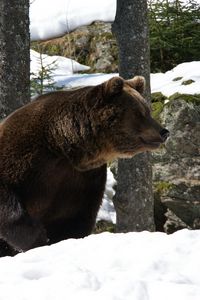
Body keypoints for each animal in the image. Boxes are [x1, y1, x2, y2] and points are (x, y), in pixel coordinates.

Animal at [0, 75, 169, 255]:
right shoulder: (23, 155)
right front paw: (38, 238)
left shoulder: (81, 179)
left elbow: (75, 218)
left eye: (147, 110)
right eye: (139, 112)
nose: (164, 132)